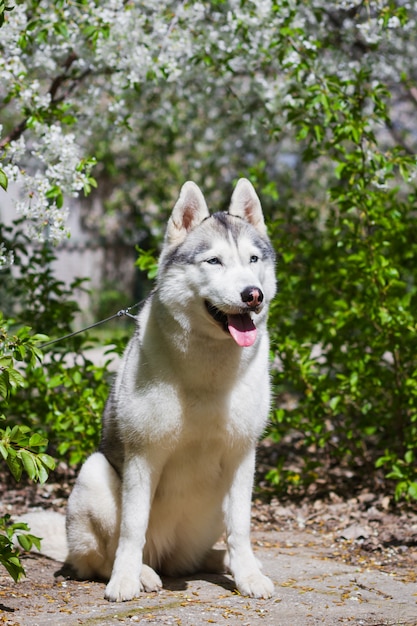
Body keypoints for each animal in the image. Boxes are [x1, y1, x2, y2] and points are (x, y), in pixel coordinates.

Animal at [30, 177, 276, 600]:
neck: (208, 365)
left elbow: (241, 526)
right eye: (214, 261)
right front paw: (125, 579)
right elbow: (133, 528)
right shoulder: (144, 456)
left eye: (253, 260)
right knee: (102, 558)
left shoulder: (243, 454)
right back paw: (140, 572)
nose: (252, 295)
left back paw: (224, 561)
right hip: (93, 474)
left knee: (203, 551)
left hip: (207, 516)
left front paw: (247, 574)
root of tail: (168, 555)